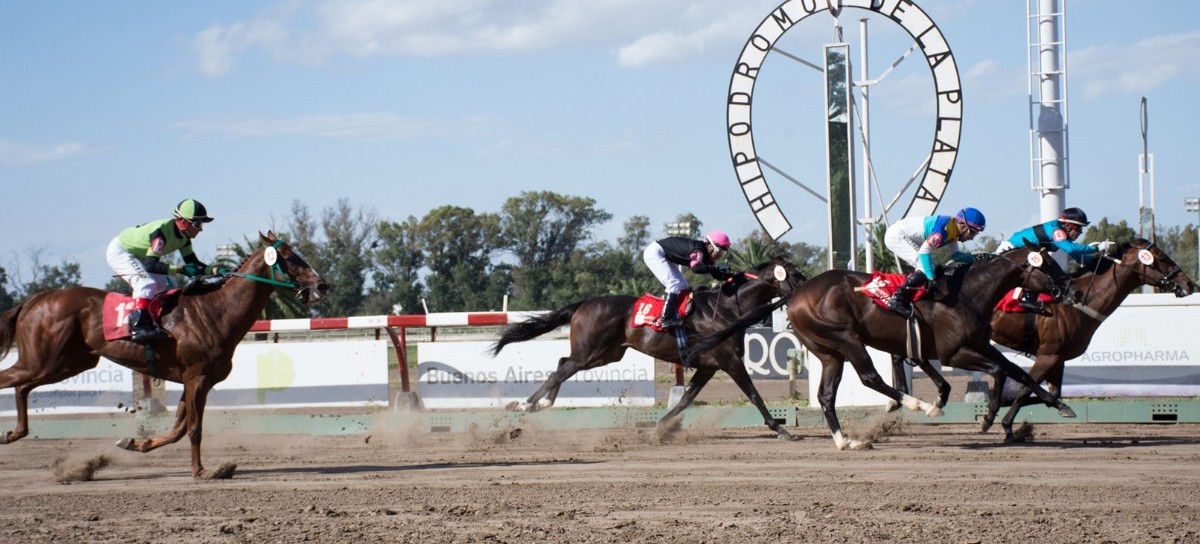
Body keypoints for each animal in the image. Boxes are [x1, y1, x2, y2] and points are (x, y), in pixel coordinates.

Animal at [0, 230, 326, 477]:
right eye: (290, 257)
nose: (322, 284)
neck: (216, 311)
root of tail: (33, 300)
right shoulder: (197, 378)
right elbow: (193, 429)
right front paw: (202, 471)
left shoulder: (193, 381)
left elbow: (178, 429)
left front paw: (134, 444)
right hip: (43, 360)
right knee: (13, 381)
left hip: (68, 363)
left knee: (22, 388)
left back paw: (13, 433)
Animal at [487, 256, 806, 439]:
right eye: (796, 275)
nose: (808, 290)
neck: (726, 308)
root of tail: (582, 304)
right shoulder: (728, 360)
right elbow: (753, 394)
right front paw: (781, 429)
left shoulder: (707, 365)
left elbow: (685, 399)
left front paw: (659, 427)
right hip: (591, 352)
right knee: (561, 369)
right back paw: (527, 405)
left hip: (605, 354)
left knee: (562, 364)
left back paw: (539, 404)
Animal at [686, 246, 1080, 449]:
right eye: (1047, 265)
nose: (1071, 290)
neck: (969, 292)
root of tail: (796, 295)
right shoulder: (954, 352)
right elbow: (999, 371)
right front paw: (987, 418)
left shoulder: (980, 344)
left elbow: (1017, 372)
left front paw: (1058, 405)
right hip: (847, 338)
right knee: (869, 377)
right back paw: (917, 405)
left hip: (828, 352)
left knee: (827, 395)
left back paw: (846, 441)